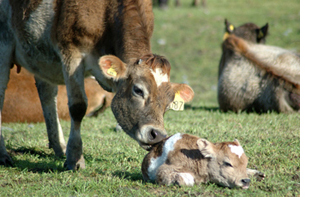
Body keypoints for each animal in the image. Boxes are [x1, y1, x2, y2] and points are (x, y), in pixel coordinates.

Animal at [0, 0, 194, 170]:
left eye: (169, 103)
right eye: (138, 90)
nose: (157, 136)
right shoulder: (71, 52)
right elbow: (78, 107)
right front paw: (75, 159)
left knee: (47, 92)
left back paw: (59, 146)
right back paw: (4, 154)